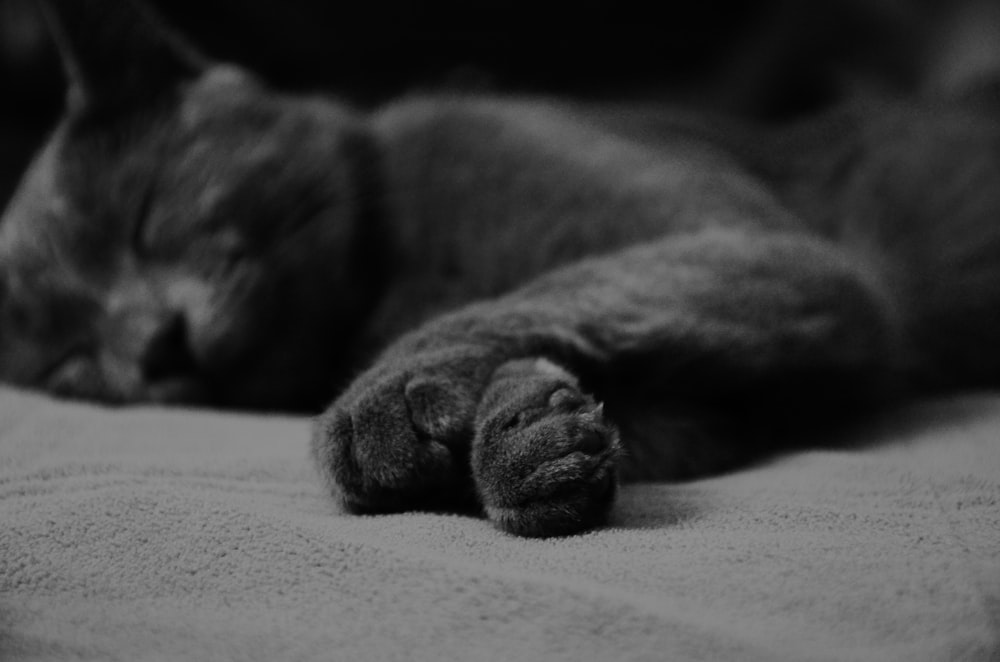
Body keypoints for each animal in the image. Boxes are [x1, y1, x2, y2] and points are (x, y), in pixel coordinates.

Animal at [1, 0, 1000, 536]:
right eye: (72, 360)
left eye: (144, 215)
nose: (155, 347)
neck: (386, 278)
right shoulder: (738, 377)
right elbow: (646, 404)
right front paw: (533, 432)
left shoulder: (782, 257)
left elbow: (534, 293)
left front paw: (384, 408)